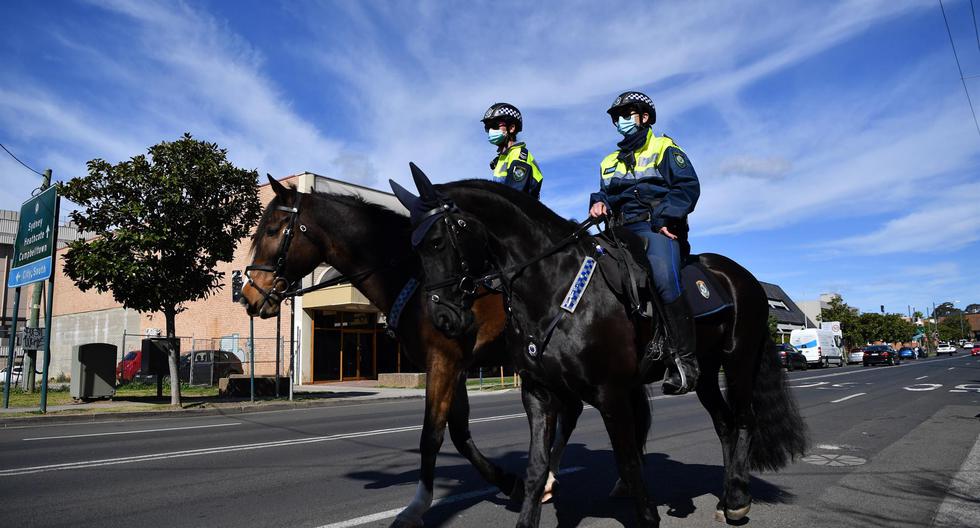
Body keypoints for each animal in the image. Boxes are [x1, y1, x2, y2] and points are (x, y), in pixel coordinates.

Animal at [239, 178, 604, 528]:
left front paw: (417, 507)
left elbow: (431, 435)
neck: (413, 278)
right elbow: (458, 432)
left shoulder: (444, 361)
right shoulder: (453, 366)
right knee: (570, 410)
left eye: (272, 231)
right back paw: (547, 479)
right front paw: (508, 482)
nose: (248, 296)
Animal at [394, 168, 808, 528]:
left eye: (435, 242)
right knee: (723, 423)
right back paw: (727, 497)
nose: (442, 318)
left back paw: (738, 499)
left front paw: (646, 517)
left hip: (738, 360)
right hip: (705, 372)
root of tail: (744, 277)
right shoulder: (539, 393)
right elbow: (536, 469)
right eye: (412, 250)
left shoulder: (611, 394)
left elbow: (629, 462)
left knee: (743, 420)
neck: (554, 286)